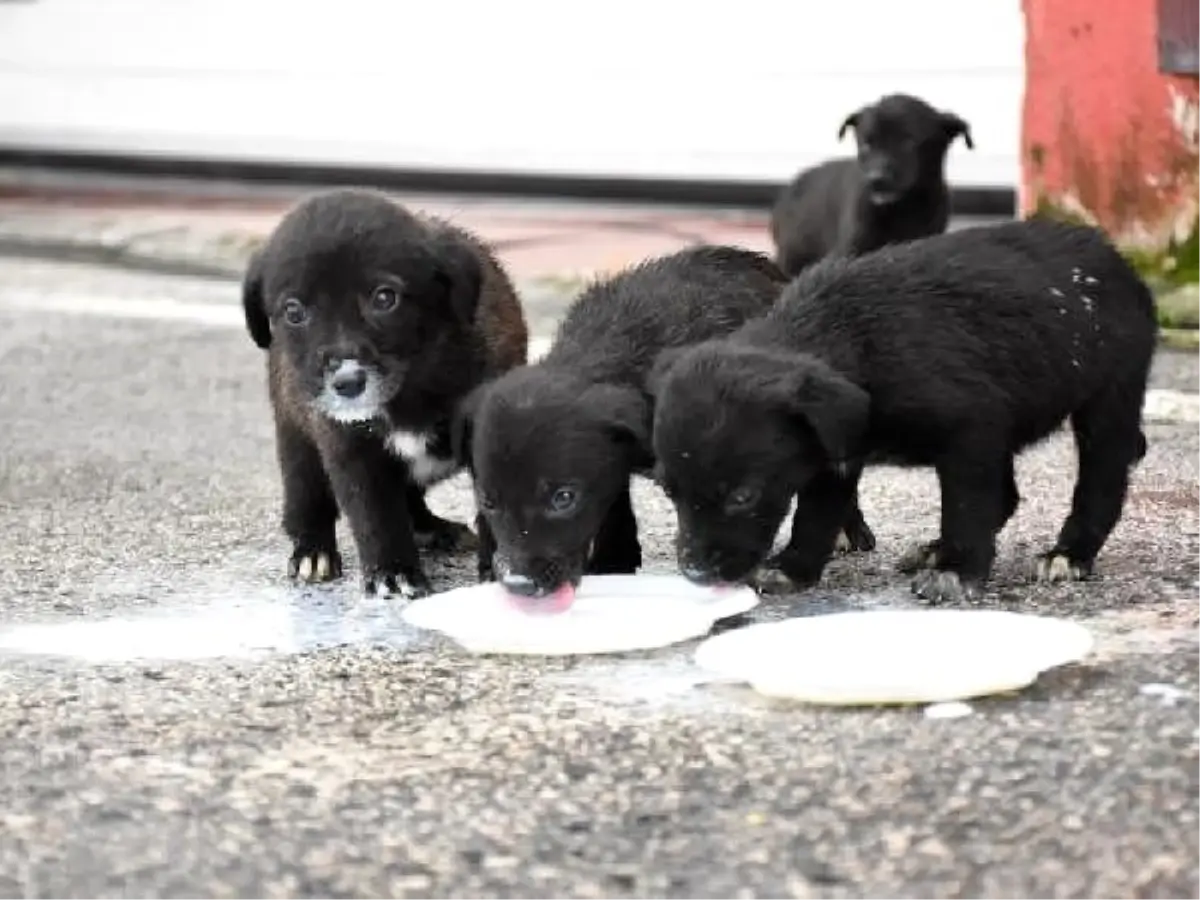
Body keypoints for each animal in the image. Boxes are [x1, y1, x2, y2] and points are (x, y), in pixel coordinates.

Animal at [242, 188, 525, 600]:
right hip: (295, 433)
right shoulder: (348, 445)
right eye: (294, 312)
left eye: (384, 298)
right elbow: (374, 515)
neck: (411, 389)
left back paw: (432, 528)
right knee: (306, 498)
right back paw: (312, 551)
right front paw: (393, 574)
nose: (346, 383)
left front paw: (505, 563)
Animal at [652, 217, 1156, 607]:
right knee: (1009, 494)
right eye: (668, 492)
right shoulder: (833, 451)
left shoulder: (971, 430)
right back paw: (935, 548)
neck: (849, 335)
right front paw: (794, 567)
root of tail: (1113, 255)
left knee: (1101, 481)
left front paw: (958, 570)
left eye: (743, 496)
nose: (695, 572)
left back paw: (1070, 554)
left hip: (1110, 396)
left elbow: (967, 506)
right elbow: (815, 514)